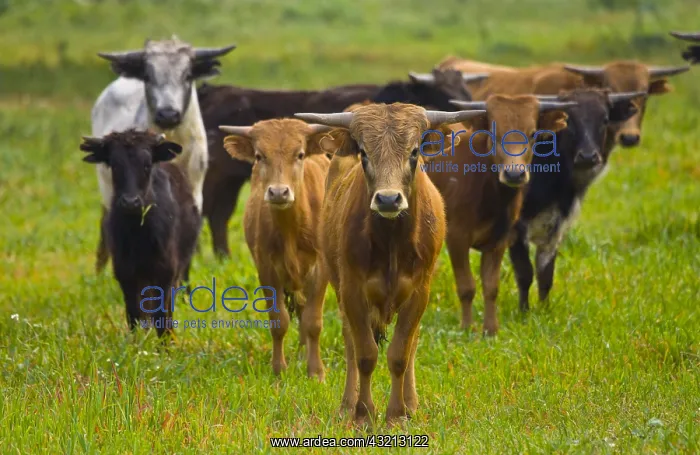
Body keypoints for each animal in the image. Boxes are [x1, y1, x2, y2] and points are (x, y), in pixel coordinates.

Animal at [80, 130, 201, 337]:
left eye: (146, 165)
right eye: (114, 165)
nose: (130, 202)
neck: (139, 236)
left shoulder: (166, 273)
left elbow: (162, 316)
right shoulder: (125, 274)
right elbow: (134, 314)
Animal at [218, 119, 334, 380]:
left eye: (299, 154)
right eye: (259, 156)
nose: (279, 192)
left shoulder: (320, 269)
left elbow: (313, 321)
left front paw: (316, 372)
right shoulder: (267, 269)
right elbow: (279, 320)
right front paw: (279, 370)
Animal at [294, 103, 485, 425]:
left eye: (414, 151)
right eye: (364, 152)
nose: (387, 199)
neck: (392, 242)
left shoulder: (419, 292)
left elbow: (400, 353)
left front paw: (397, 413)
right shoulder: (352, 291)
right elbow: (365, 354)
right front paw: (363, 413)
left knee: (412, 343)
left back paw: (411, 403)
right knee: (351, 343)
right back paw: (347, 404)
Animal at [427, 95, 577, 335]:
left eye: (532, 133)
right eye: (495, 134)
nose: (514, 174)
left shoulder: (499, 240)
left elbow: (491, 287)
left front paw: (490, 329)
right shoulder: (457, 237)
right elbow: (467, 286)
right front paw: (467, 327)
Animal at [507, 89, 646, 312]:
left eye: (604, 119)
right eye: (568, 120)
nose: (588, 156)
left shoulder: (556, 227)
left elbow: (545, 274)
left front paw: (544, 311)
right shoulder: (516, 228)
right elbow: (524, 273)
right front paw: (524, 312)